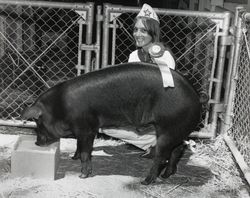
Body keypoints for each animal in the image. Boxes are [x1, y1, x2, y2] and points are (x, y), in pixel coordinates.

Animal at [21, 62, 206, 184]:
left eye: (38, 122)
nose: (37, 143)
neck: (61, 107)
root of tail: (197, 99)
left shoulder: (87, 128)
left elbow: (86, 153)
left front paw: (83, 176)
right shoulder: (82, 131)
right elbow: (79, 147)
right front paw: (73, 157)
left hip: (168, 130)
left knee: (162, 156)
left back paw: (146, 181)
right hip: (177, 131)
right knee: (178, 149)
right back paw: (166, 176)